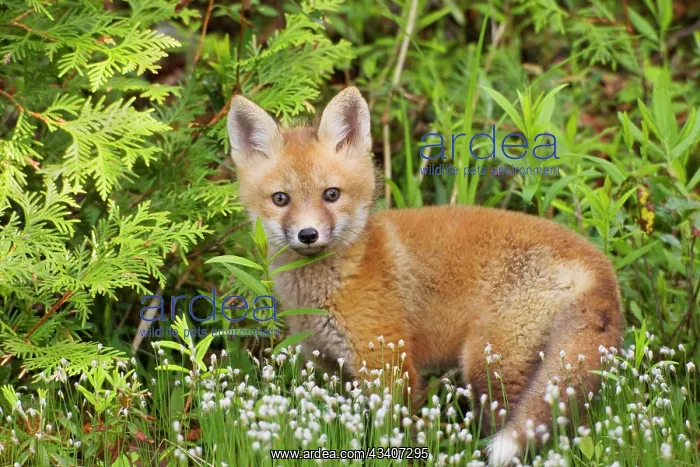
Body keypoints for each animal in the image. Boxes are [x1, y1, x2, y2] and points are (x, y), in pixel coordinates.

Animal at [226, 86, 624, 465]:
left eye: (331, 194)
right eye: (281, 199)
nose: (308, 235)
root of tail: (599, 265)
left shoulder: (388, 363)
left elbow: (393, 436)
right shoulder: (329, 366)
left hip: (489, 364)